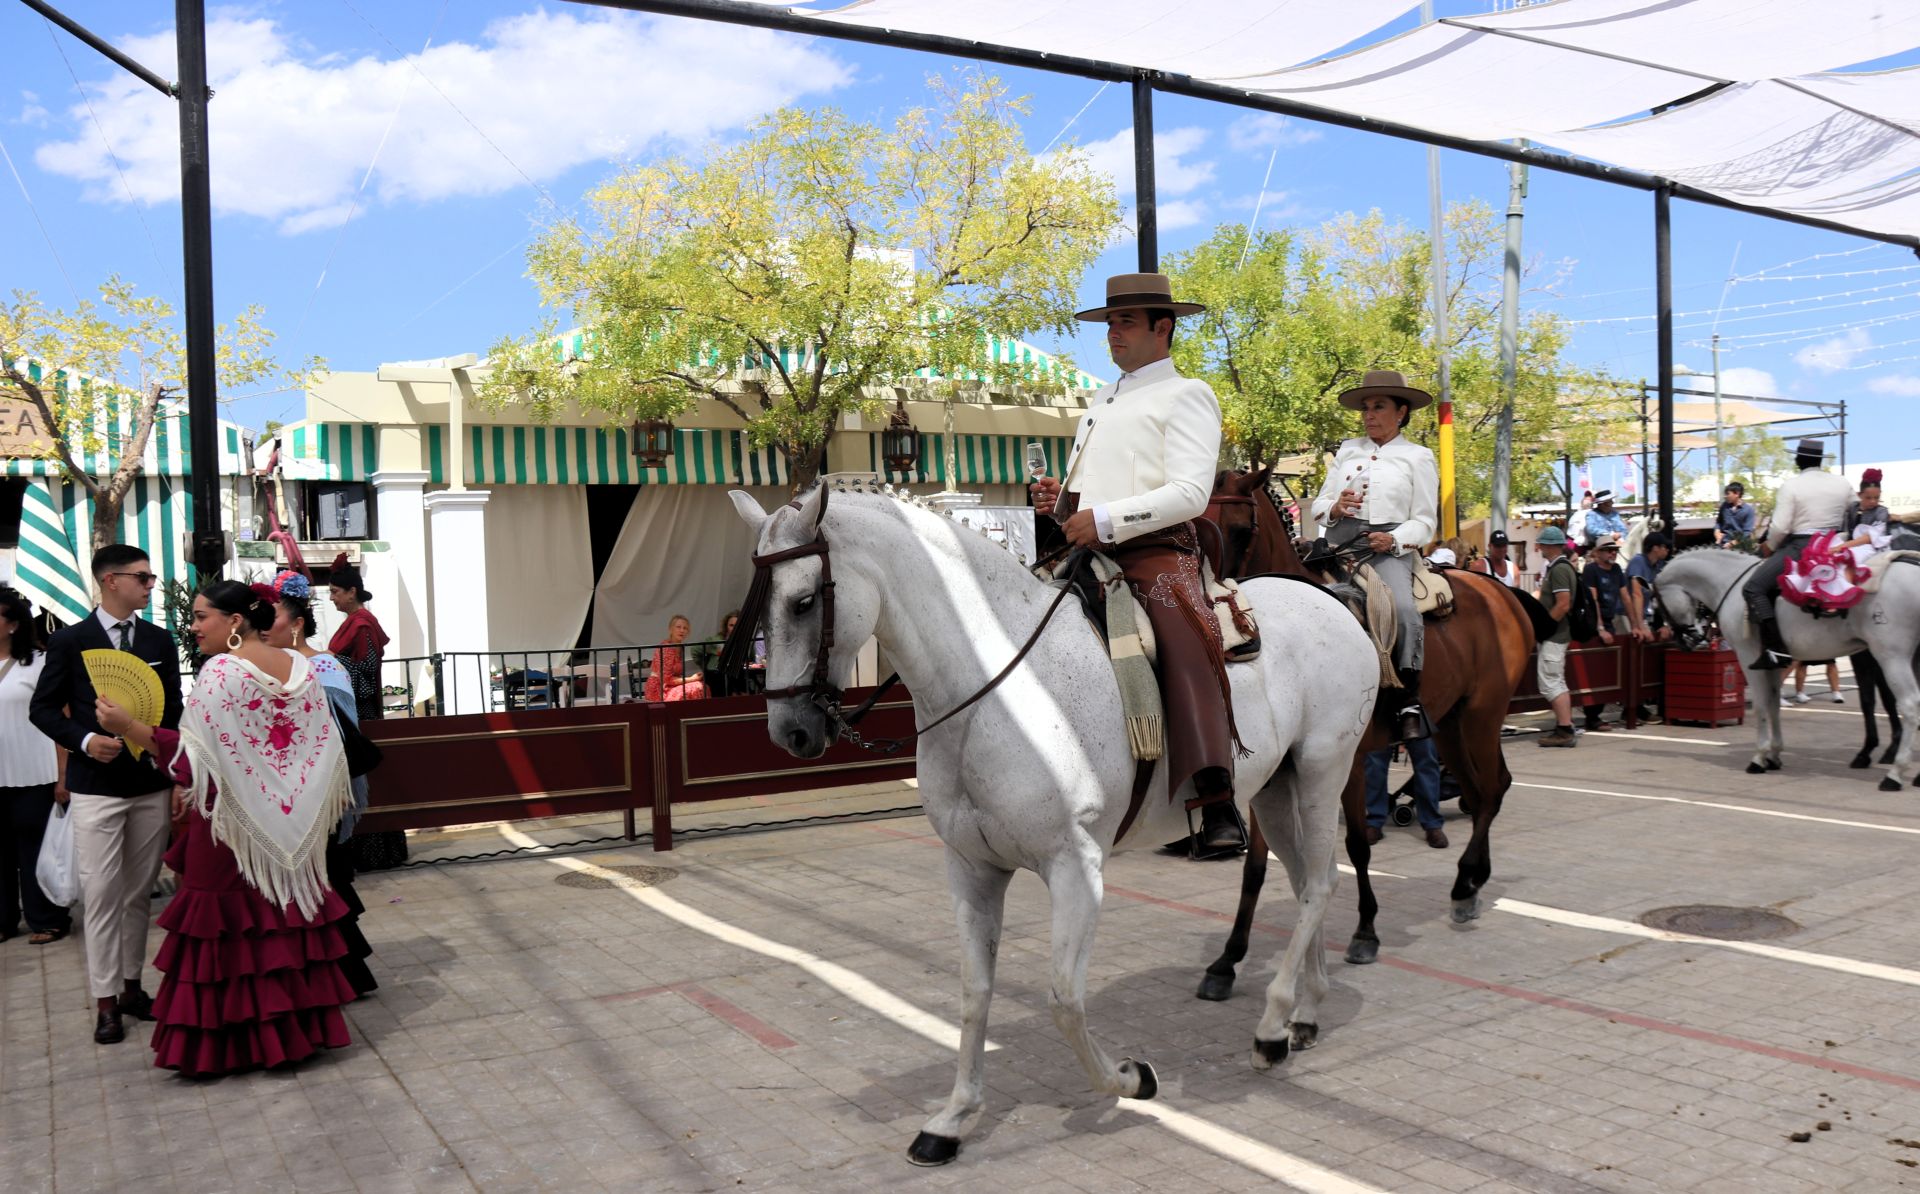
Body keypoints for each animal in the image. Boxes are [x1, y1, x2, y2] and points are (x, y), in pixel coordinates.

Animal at [729, 487, 1382, 1167]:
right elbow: (974, 992)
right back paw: (1304, 1013)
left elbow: (1065, 1000)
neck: (998, 692)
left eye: (803, 601)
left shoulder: (1076, 870)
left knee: (1320, 886)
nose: (790, 732)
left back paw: (1272, 1027)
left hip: (1322, 772)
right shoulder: (971, 869)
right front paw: (953, 1119)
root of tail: (1329, 600)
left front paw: (1130, 1078)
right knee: (1307, 882)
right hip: (1277, 791)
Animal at [1198, 470, 1543, 1021]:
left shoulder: (1350, 761)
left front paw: (1365, 931)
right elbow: (1254, 866)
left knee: (1490, 792)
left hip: (1482, 716)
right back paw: (1472, 882)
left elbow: (1358, 845)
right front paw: (1227, 960)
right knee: (1481, 790)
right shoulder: (1273, 775)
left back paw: (1463, 885)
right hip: (1450, 725)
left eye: (1239, 528)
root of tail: (1496, 588)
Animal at [1651, 549, 1920, 790]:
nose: (1687, 641)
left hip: (1891, 656)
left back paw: (1895, 774)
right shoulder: (1772, 663)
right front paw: (1774, 755)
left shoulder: (1749, 658)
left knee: (1909, 706)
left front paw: (1759, 758)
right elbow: (1773, 705)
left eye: (1657, 605)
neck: (1729, 581)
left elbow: (1761, 705)